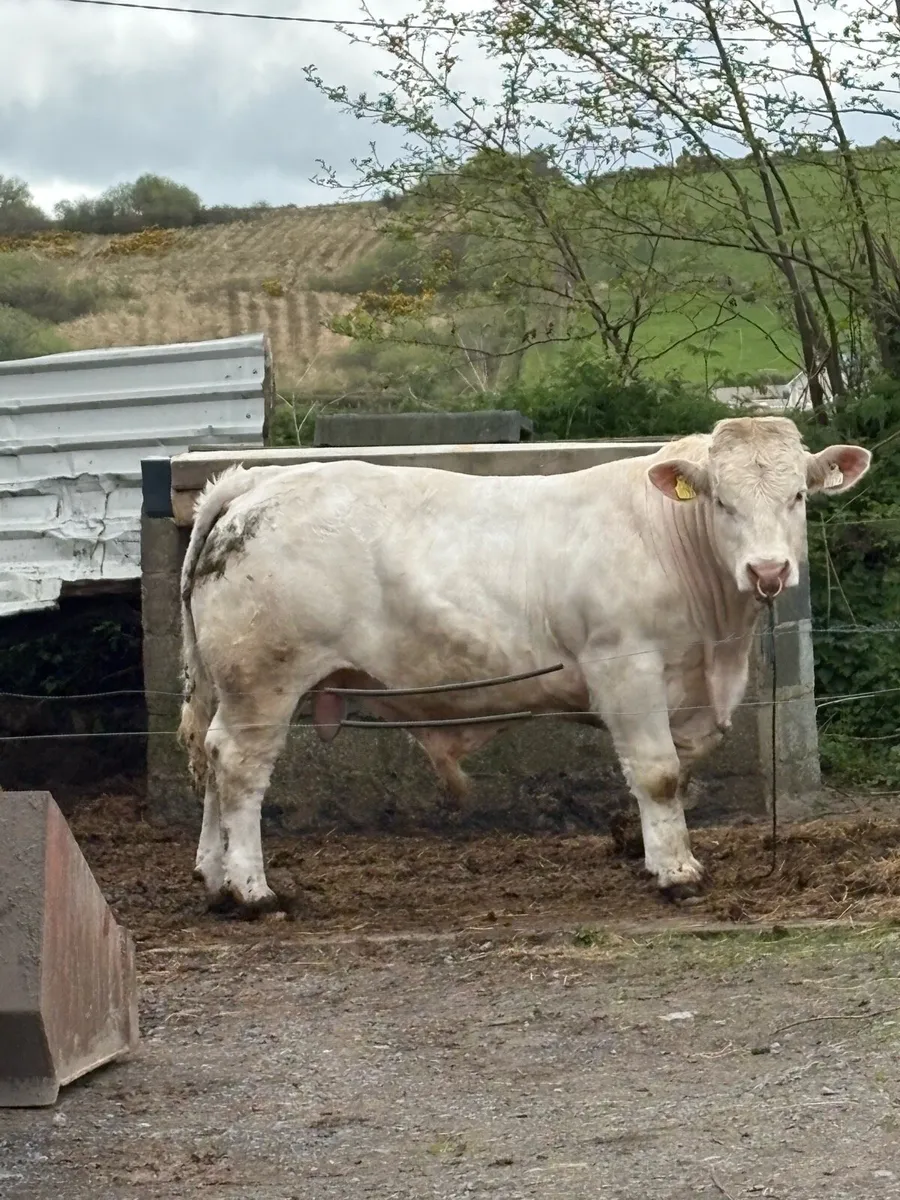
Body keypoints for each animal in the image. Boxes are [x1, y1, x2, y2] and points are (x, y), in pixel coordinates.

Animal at [177, 415, 871, 917]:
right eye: (722, 502)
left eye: (799, 495)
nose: (769, 571)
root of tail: (255, 485)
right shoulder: (626, 666)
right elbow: (659, 773)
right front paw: (677, 874)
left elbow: (681, 767)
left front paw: (641, 846)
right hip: (263, 680)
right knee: (239, 769)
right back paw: (253, 890)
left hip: (233, 688)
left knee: (211, 757)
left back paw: (215, 879)